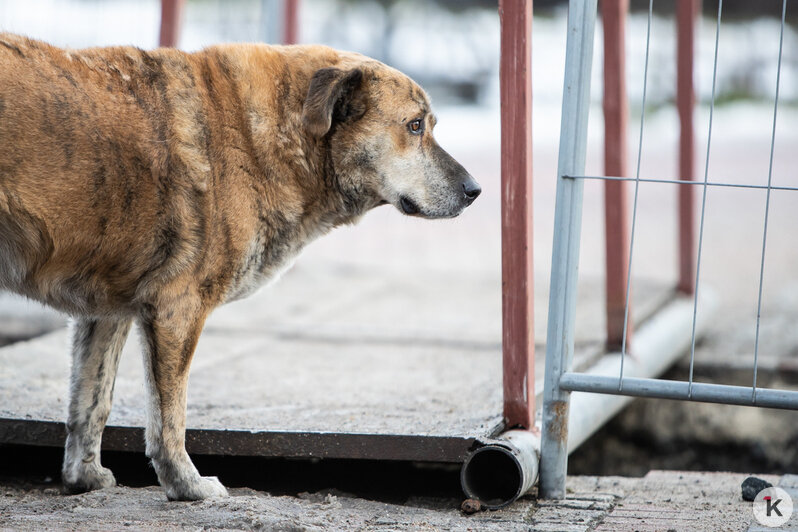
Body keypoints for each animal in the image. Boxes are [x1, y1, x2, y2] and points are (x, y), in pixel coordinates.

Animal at [0, 34, 482, 502]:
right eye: (415, 126)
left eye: (428, 126)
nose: (475, 190)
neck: (271, 136)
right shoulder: (177, 310)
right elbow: (168, 416)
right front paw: (187, 486)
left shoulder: (106, 313)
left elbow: (91, 401)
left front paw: (84, 477)